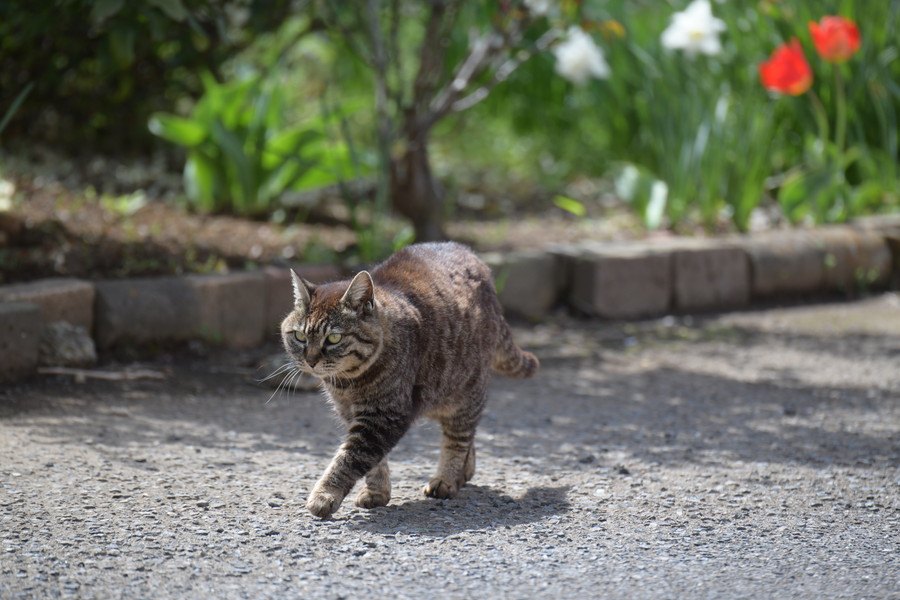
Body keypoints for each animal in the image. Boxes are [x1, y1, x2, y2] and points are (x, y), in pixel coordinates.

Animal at [278, 241, 536, 516]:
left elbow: (350, 458)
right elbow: (374, 462)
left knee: (459, 438)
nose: (310, 360)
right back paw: (465, 471)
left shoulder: (384, 416)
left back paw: (446, 480)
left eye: (334, 338)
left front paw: (324, 495)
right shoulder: (351, 413)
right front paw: (376, 493)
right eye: (299, 337)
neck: (348, 384)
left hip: (466, 393)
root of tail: (475, 258)